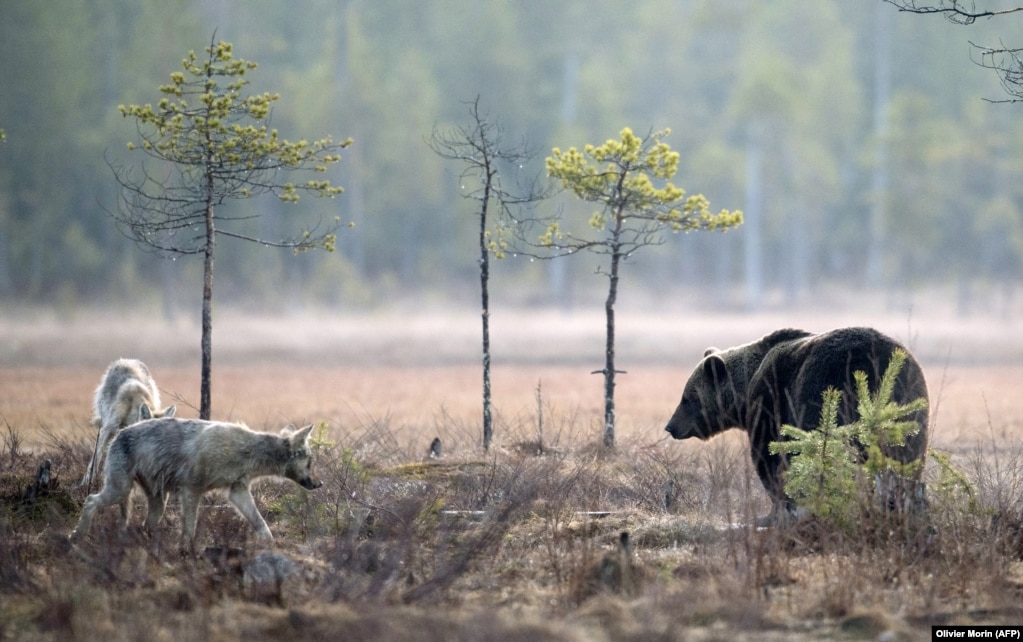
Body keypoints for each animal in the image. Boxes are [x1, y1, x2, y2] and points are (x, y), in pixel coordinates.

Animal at [69, 419, 319, 547]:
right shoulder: (191, 490)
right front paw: (186, 552)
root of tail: (119, 434)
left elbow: (260, 522)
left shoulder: (238, 492)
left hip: (157, 501)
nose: (320, 484)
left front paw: (271, 545)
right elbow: (190, 528)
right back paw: (77, 536)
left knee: (144, 525)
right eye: (310, 462)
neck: (246, 451)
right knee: (90, 500)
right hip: (119, 491)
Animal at [662, 325, 928, 521]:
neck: (745, 392)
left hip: (831, 391)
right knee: (908, 457)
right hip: (909, 401)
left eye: (686, 398)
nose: (670, 426)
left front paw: (777, 509)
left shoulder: (770, 404)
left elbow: (770, 456)